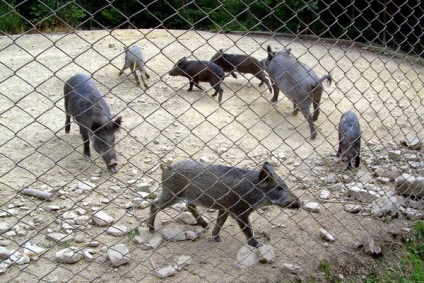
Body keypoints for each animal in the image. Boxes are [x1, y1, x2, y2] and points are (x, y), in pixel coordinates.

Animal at [148, 160, 302, 248]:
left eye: (285, 185)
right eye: (279, 188)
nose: (299, 203)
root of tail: (166, 168)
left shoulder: (225, 208)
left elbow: (220, 222)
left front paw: (217, 238)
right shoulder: (239, 211)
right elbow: (247, 229)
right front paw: (257, 245)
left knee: (189, 206)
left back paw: (205, 225)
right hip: (171, 193)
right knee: (154, 205)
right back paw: (151, 230)